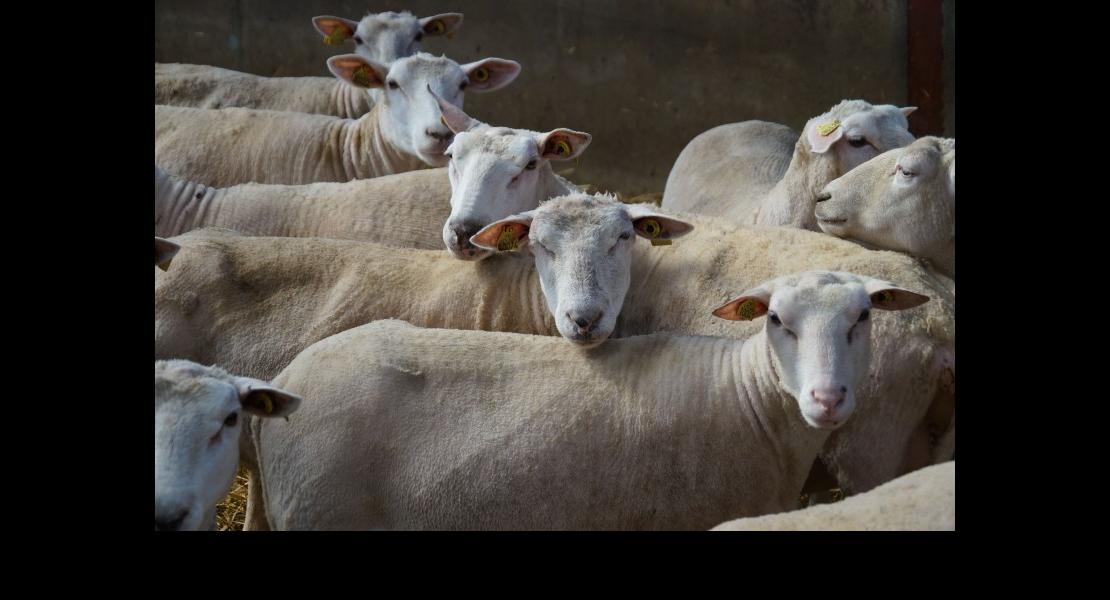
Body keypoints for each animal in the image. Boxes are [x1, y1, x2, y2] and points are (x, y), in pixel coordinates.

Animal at [245, 271, 929, 530]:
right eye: (778, 321)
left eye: (864, 316)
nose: (827, 397)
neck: (747, 398)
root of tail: (292, 377)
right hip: (326, 510)